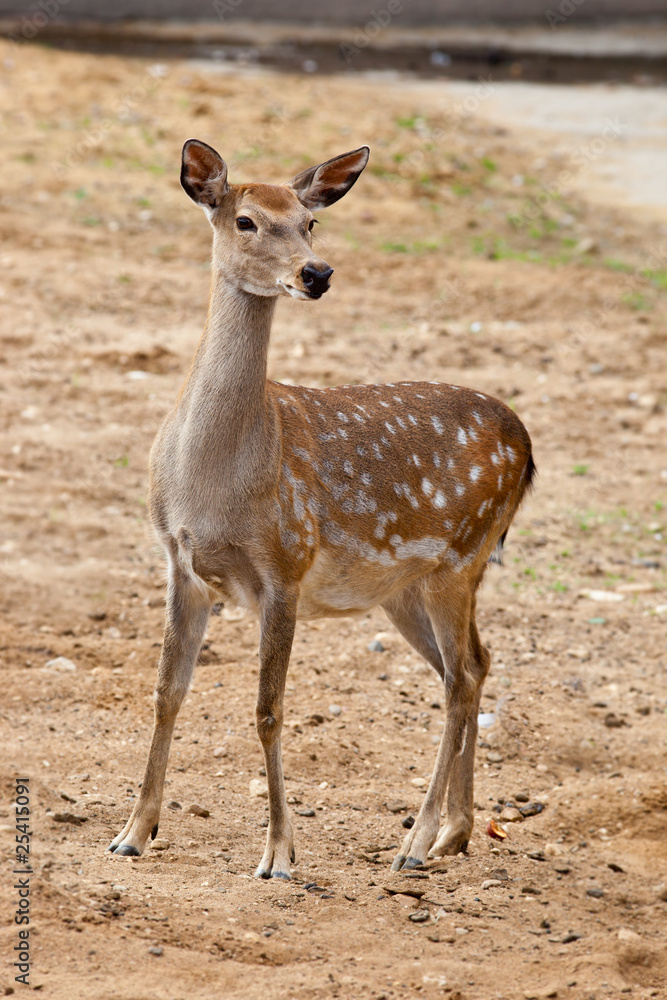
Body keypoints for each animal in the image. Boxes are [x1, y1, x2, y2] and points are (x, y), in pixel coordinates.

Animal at [108, 139, 535, 879]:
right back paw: (455, 833)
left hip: (461, 557)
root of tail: (528, 445)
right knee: (474, 665)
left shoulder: (285, 564)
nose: (317, 272)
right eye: (246, 220)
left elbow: (268, 709)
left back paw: (416, 841)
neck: (214, 482)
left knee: (459, 679)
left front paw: (279, 853)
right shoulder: (179, 562)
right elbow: (166, 692)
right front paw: (133, 831)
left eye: (311, 223)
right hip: (409, 587)